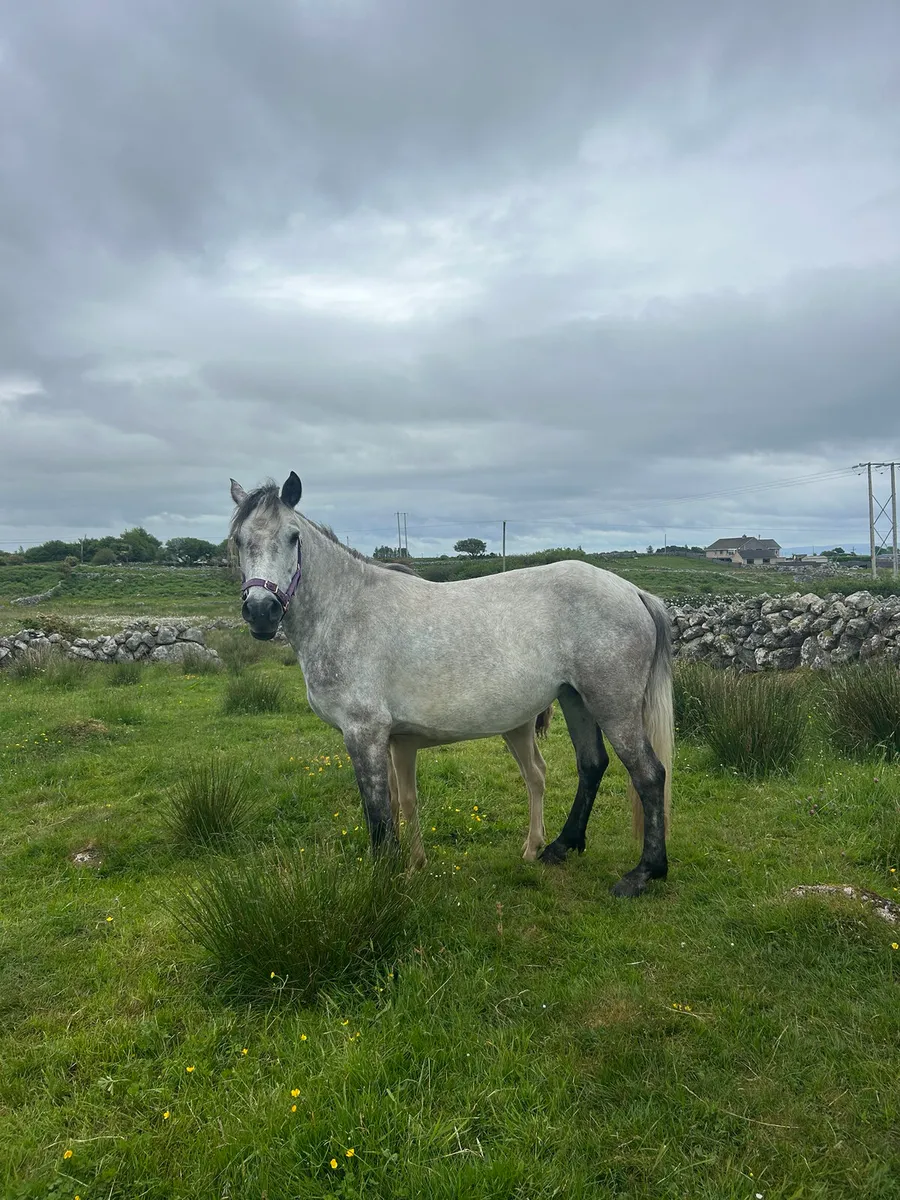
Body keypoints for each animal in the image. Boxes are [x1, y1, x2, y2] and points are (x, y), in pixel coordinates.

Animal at [229, 472, 673, 897]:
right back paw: (560, 846)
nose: (262, 612)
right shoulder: (389, 739)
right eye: (238, 540)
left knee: (649, 774)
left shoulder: (363, 733)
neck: (346, 611)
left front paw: (382, 883)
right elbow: (394, 805)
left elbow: (378, 814)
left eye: (293, 537)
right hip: (575, 698)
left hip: (613, 704)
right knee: (592, 764)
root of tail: (633, 591)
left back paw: (643, 873)